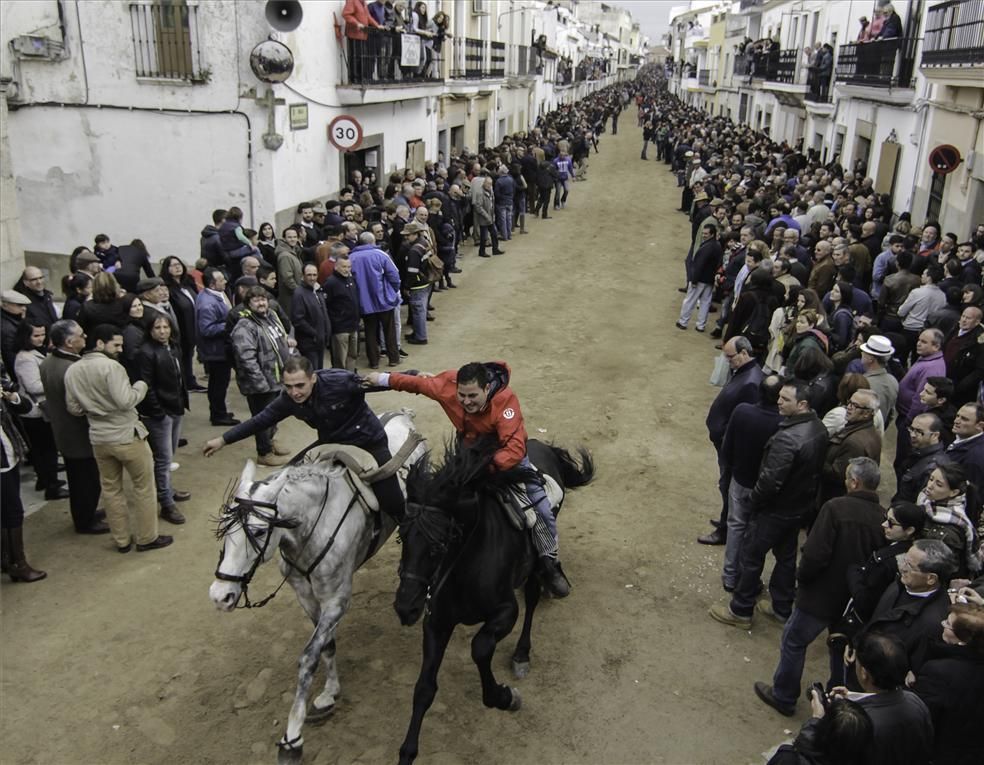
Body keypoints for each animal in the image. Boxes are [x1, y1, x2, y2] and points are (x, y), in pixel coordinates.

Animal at [209, 408, 428, 760]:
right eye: (226, 532)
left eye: (257, 531)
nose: (220, 596)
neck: (310, 526)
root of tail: (403, 416)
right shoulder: (308, 598)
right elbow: (327, 645)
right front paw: (329, 694)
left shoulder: (336, 601)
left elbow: (308, 657)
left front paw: (292, 737)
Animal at [390, 436, 592, 764]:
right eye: (402, 538)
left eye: (439, 544)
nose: (406, 607)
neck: (466, 564)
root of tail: (542, 445)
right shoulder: (436, 622)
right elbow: (424, 688)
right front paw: (407, 752)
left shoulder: (505, 611)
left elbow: (481, 647)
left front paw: (505, 697)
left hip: (534, 568)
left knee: (532, 599)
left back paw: (523, 653)